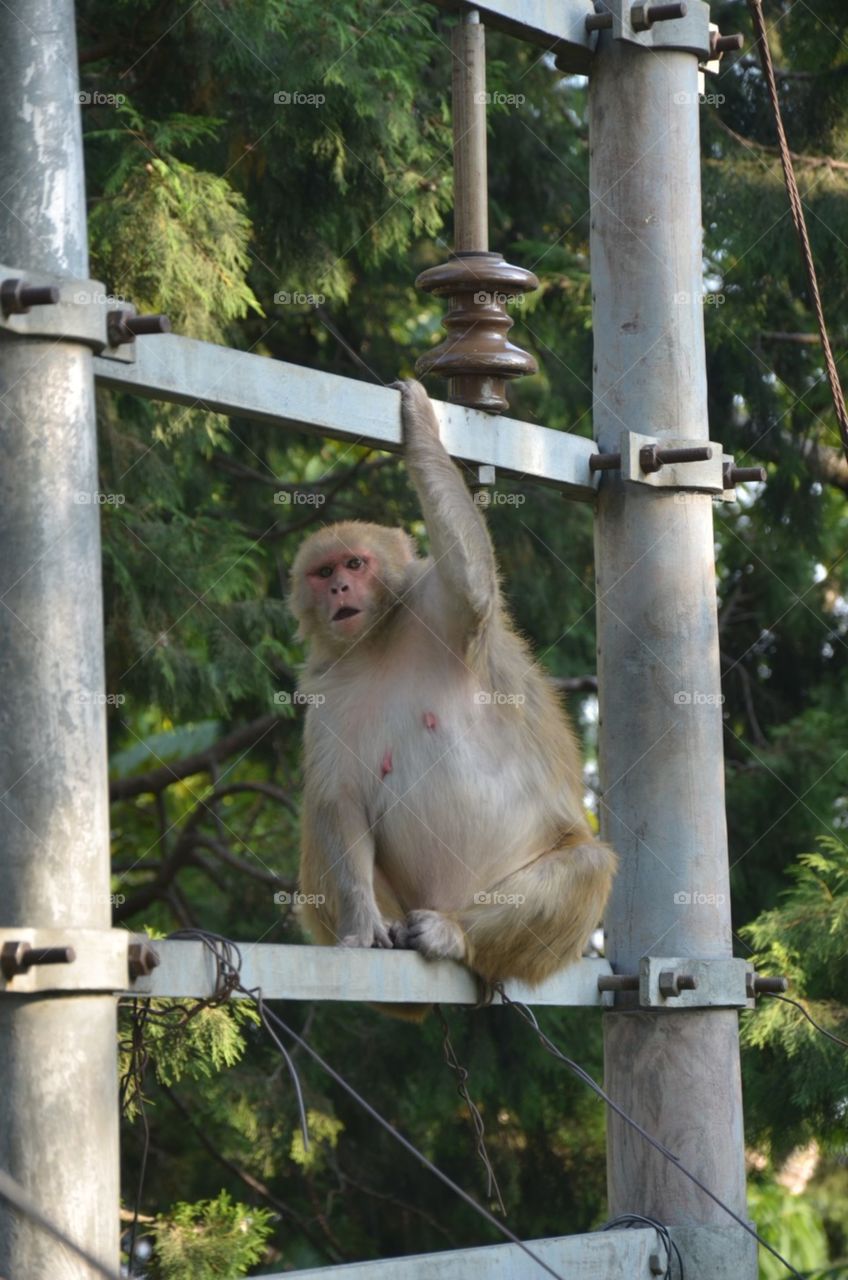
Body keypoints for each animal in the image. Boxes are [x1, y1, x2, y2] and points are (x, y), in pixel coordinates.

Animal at [288, 379, 616, 994]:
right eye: (323, 573)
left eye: (355, 563)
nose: (339, 587)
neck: (379, 640)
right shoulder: (326, 686)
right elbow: (339, 796)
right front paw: (362, 923)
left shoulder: (434, 603)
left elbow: (471, 587)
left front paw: (420, 426)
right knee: (319, 835)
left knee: (587, 867)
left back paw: (455, 936)